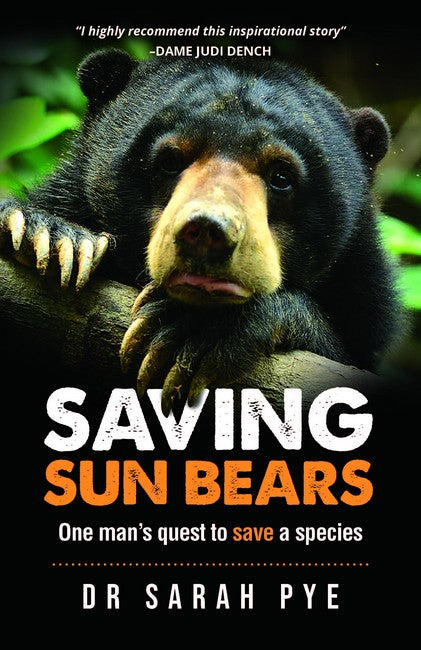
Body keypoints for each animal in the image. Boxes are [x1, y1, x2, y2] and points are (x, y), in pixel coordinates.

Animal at [0, 49, 402, 415]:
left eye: (281, 176)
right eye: (170, 160)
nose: (208, 232)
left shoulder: (364, 299)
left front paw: (189, 333)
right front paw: (53, 239)